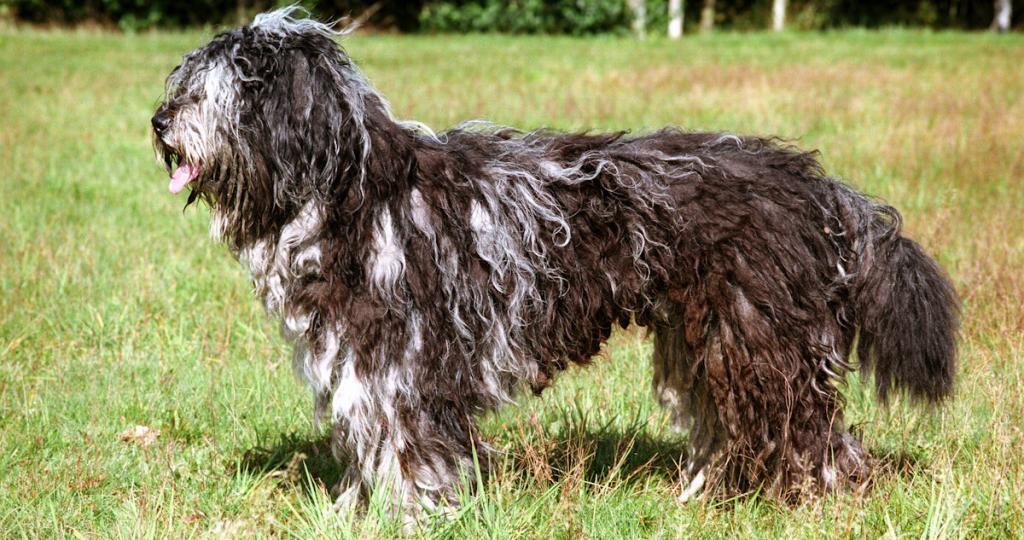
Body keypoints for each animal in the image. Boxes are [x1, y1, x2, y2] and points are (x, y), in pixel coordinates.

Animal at [151, 7, 958, 516]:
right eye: (183, 85)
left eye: (212, 91)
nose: (158, 122)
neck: (350, 189)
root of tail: (816, 185)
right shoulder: (359, 360)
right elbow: (367, 438)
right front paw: (355, 509)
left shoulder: (403, 360)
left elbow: (406, 445)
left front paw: (409, 512)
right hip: (707, 339)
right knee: (740, 428)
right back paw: (706, 497)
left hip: (760, 339)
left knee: (813, 434)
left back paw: (815, 500)